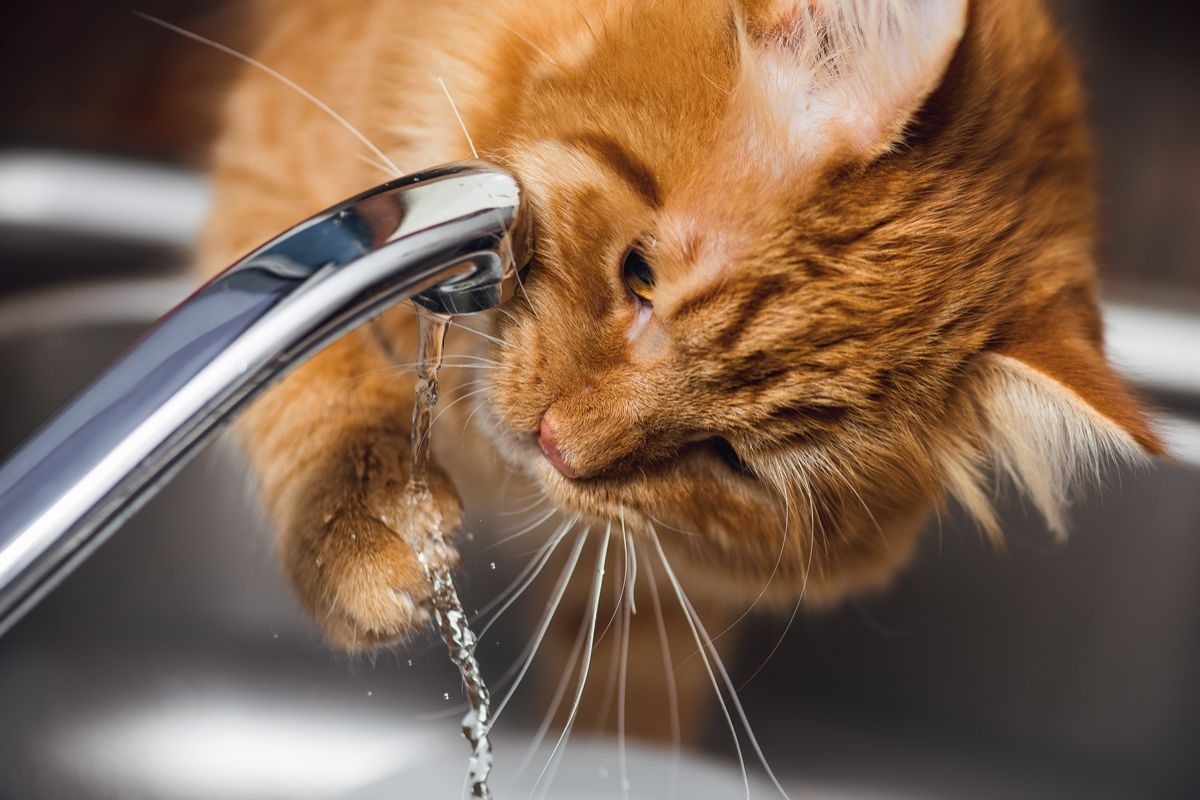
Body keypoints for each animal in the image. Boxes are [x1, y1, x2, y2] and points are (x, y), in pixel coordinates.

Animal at [199, 0, 1161, 743]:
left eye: (732, 458)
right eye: (640, 274)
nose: (555, 444)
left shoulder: (660, 603)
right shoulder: (286, 173)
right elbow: (318, 382)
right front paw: (372, 529)